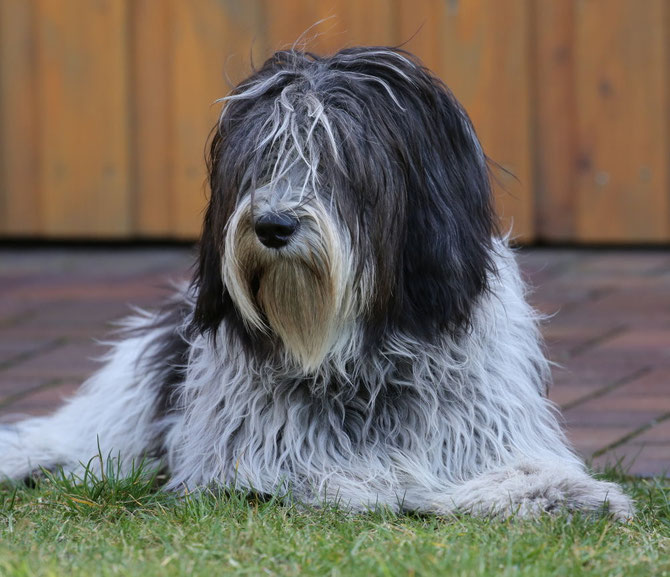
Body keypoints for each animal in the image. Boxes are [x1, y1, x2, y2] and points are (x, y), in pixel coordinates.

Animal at [0, 48, 636, 516]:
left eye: (338, 158)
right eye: (259, 159)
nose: (273, 225)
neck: (358, 359)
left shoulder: (487, 425)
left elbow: (527, 470)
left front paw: (568, 495)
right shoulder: (250, 448)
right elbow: (315, 474)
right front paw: (385, 485)